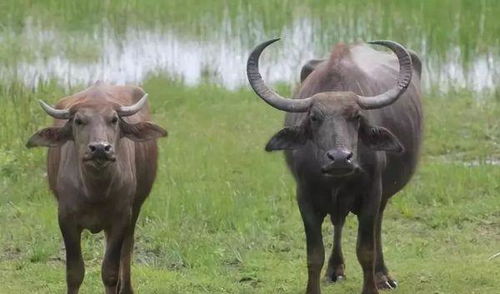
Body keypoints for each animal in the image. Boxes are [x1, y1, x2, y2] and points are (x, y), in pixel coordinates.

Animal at [26, 83, 168, 294]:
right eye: (78, 121)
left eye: (114, 119)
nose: (100, 148)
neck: (95, 190)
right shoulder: (66, 219)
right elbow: (74, 273)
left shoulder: (121, 217)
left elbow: (110, 272)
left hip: (136, 207)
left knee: (127, 247)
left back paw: (126, 288)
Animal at [246, 39, 422, 294]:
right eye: (314, 117)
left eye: (356, 116)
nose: (340, 158)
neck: (337, 179)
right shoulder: (305, 199)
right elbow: (314, 255)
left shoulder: (372, 194)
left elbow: (366, 250)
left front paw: (371, 287)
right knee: (338, 223)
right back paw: (335, 269)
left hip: (383, 194)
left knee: (377, 226)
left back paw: (382, 275)